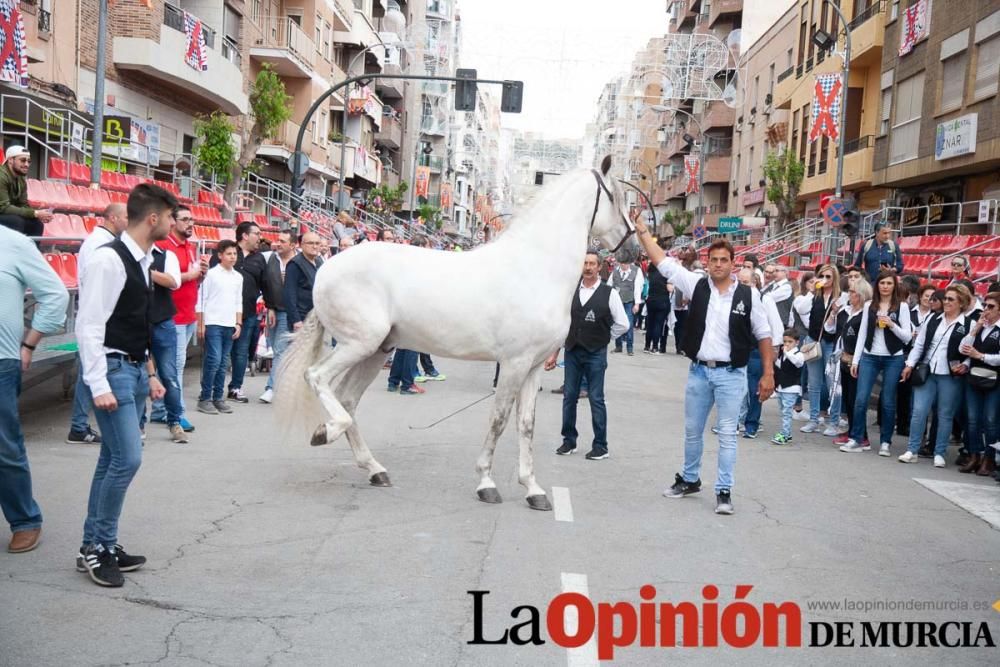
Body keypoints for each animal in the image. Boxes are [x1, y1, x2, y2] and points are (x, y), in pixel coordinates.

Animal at [274, 157, 636, 512]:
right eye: (617, 199)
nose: (632, 249)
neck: (536, 268)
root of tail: (326, 267)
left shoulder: (533, 368)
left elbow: (526, 426)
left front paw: (533, 489)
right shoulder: (514, 364)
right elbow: (499, 420)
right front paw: (486, 483)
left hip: (376, 351)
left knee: (348, 400)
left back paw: (375, 469)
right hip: (358, 344)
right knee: (317, 378)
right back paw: (326, 431)